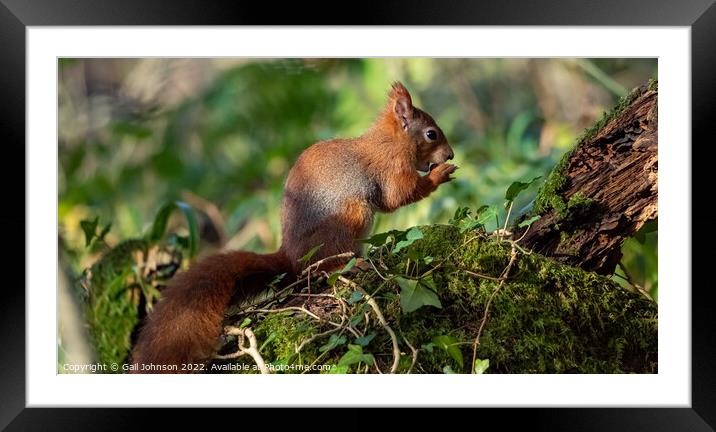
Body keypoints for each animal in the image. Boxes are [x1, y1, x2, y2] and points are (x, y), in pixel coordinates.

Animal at [131, 82, 456, 372]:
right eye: (431, 134)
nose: (451, 155)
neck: (393, 141)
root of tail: (290, 256)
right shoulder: (390, 166)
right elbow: (397, 195)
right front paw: (439, 175)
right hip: (351, 218)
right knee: (324, 267)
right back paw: (351, 265)